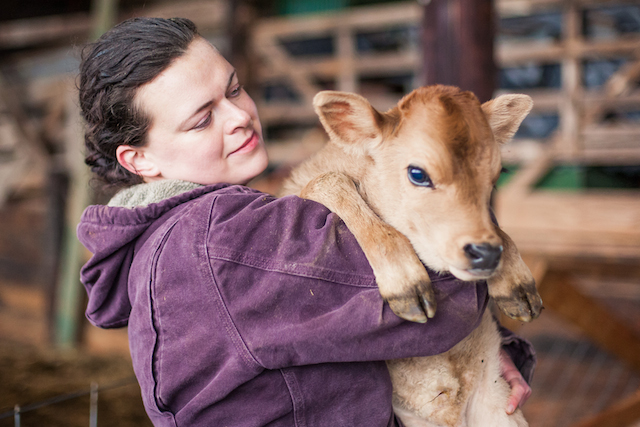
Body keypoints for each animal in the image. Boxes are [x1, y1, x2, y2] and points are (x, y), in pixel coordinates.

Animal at [280, 85, 540, 426]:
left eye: (497, 175)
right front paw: (407, 285)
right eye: (418, 174)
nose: (485, 254)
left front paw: (517, 288)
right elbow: (329, 181)